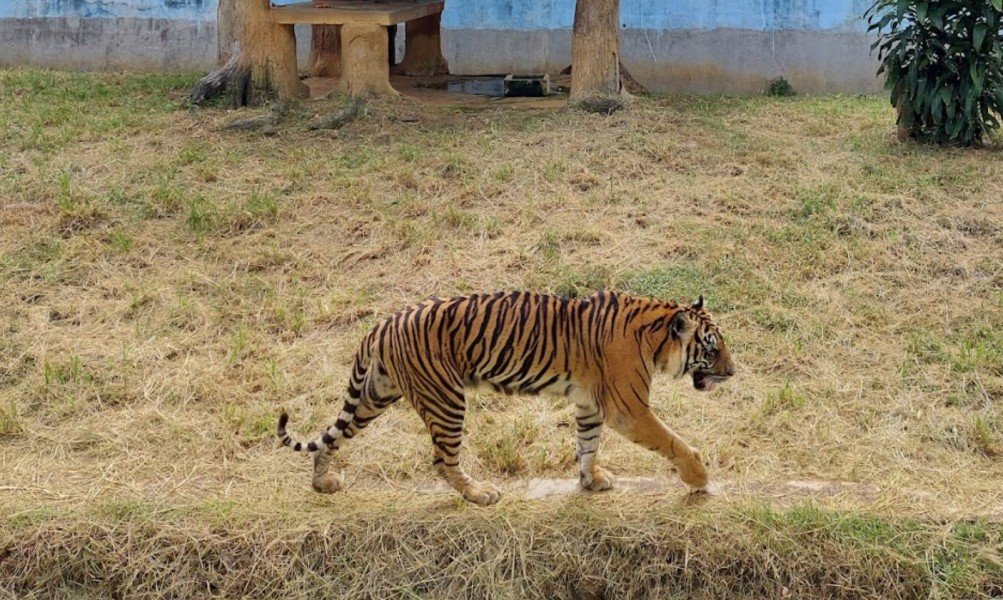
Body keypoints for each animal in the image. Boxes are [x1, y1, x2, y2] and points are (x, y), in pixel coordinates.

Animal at [278, 290, 734, 507]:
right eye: (712, 349)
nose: (732, 372)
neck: (655, 338)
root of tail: (383, 323)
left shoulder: (590, 403)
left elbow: (586, 445)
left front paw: (590, 481)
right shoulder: (629, 409)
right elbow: (673, 442)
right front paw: (700, 478)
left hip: (376, 393)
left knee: (333, 437)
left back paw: (323, 483)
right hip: (446, 399)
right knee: (442, 459)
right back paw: (479, 494)